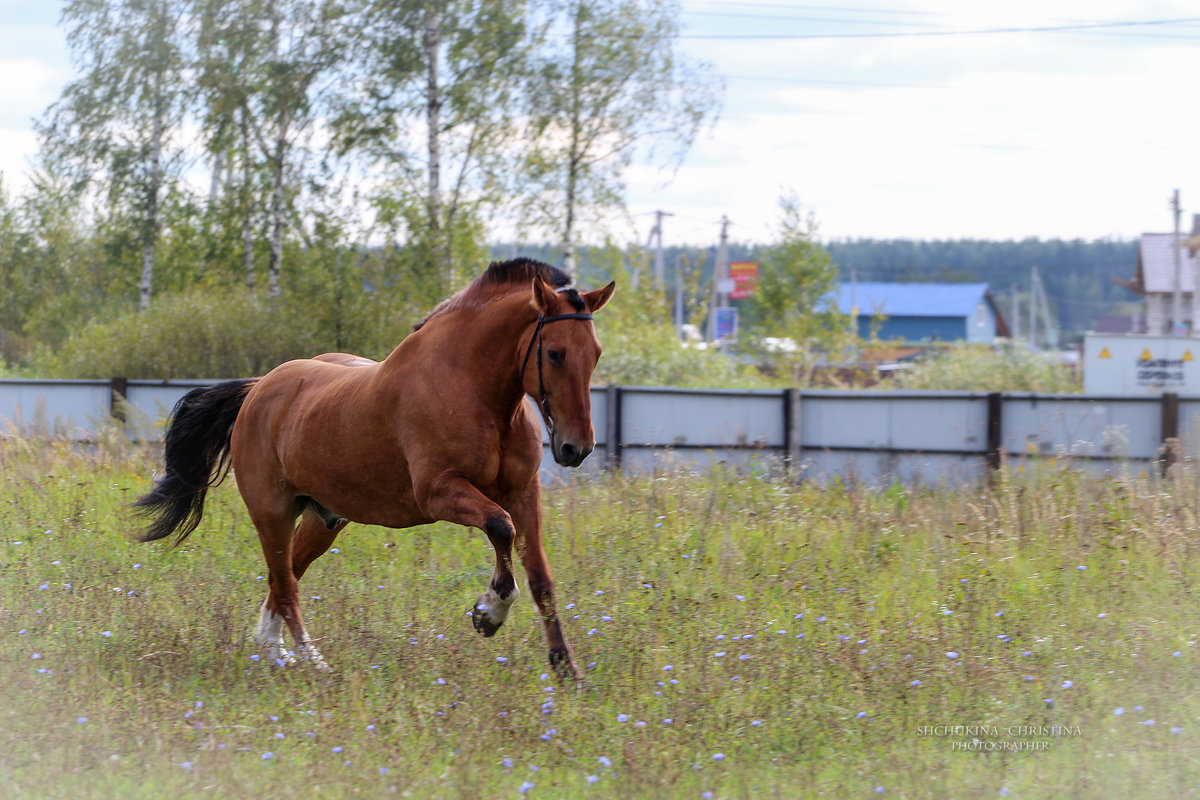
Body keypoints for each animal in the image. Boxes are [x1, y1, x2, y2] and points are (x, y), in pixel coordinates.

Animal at [136, 261, 614, 681]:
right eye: (554, 354)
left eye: (595, 354)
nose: (576, 448)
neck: (474, 391)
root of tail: (259, 389)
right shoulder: (439, 493)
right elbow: (500, 528)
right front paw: (489, 613)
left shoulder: (523, 493)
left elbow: (541, 580)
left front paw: (565, 667)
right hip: (272, 512)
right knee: (286, 587)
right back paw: (314, 665)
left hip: (322, 520)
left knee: (282, 577)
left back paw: (272, 655)